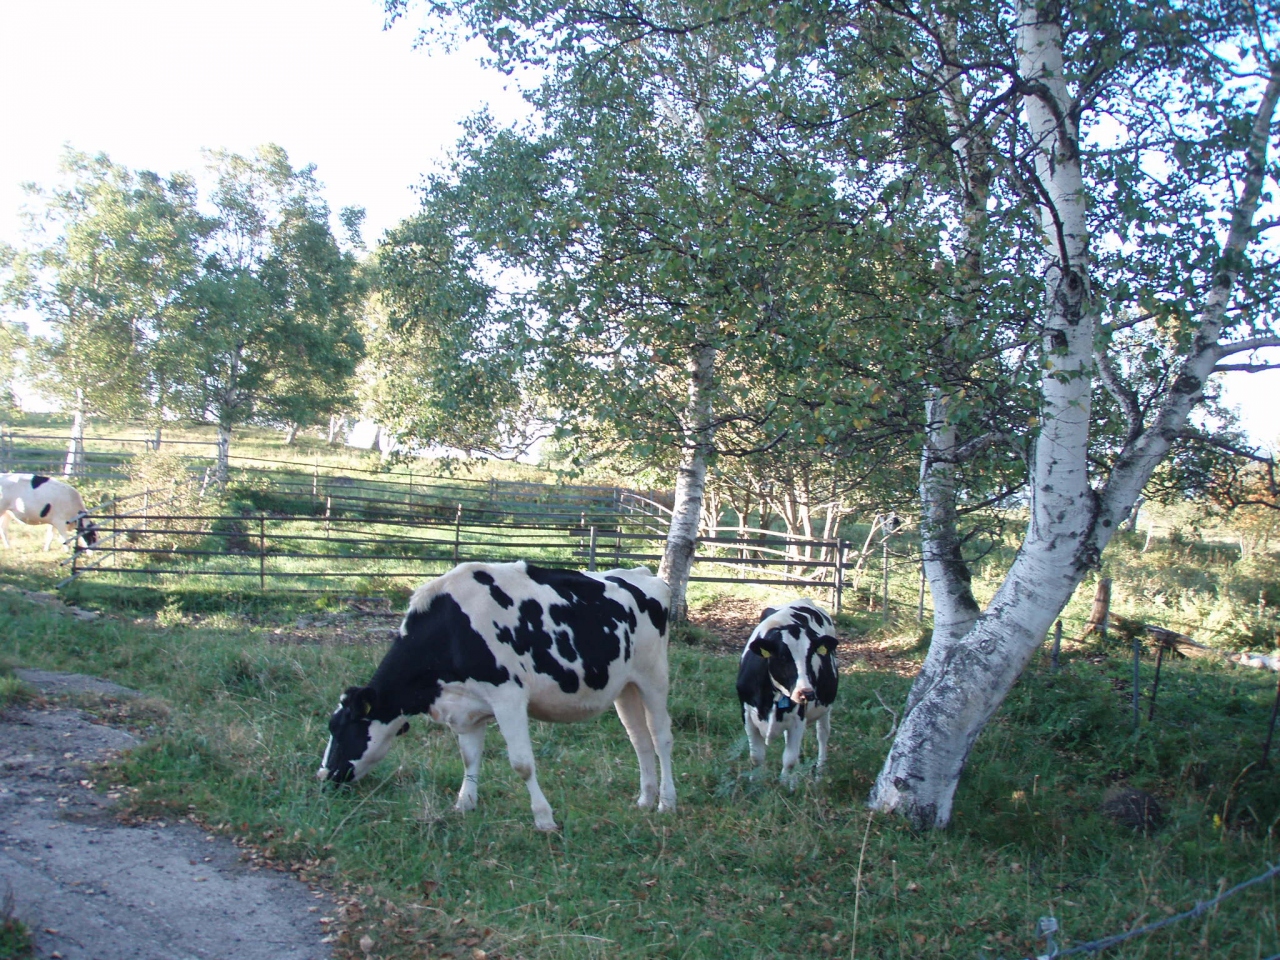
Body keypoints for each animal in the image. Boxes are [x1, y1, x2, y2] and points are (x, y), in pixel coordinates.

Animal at [317, 560, 680, 829]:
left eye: (341, 729)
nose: (324, 777)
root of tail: (643, 574)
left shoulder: (509, 696)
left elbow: (522, 764)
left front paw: (544, 819)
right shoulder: (465, 708)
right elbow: (469, 758)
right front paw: (464, 805)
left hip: (653, 676)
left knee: (660, 736)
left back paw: (666, 802)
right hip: (625, 686)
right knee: (639, 739)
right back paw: (645, 800)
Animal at [737, 601, 834, 783]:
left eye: (811, 656)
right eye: (782, 657)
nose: (807, 693)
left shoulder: (798, 719)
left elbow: (789, 759)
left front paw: (785, 784)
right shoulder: (747, 714)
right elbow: (756, 757)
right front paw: (755, 782)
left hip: (825, 708)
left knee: (823, 734)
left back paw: (820, 773)